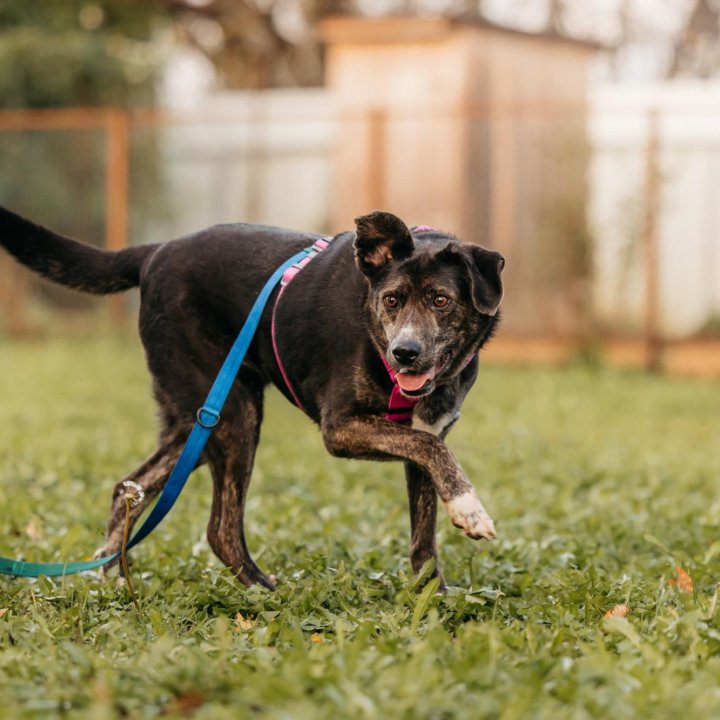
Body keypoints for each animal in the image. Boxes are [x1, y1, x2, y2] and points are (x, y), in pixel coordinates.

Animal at [0, 208, 504, 592]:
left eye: (441, 300)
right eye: (392, 300)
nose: (405, 353)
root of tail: (154, 252)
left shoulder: (423, 433)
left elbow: (424, 532)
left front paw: (431, 599)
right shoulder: (340, 428)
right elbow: (432, 451)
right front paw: (469, 507)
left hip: (197, 423)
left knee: (130, 486)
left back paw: (111, 578)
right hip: (233, 413)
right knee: (219, 528)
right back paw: (261, 588)